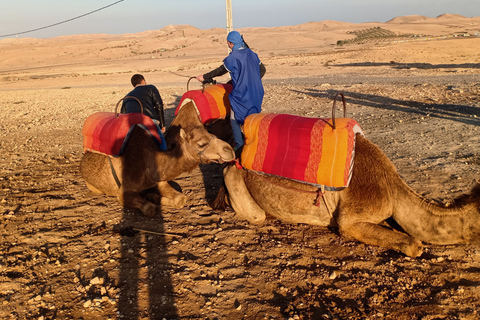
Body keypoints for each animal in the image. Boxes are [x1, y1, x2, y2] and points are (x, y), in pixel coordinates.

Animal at [81, 102, 236, 218]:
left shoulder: (159, 181)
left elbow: (181, 199)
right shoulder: (124, 192)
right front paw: (151, 198)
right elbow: (149, 208)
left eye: (211, 133)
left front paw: (153, 196)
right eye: (201, 144)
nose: (230, 150)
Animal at [216, 133, 480, 258]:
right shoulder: (350, 222)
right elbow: (414, 244)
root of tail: (235, 156)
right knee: (254, 214)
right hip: (235, 179)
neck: (392, 186)